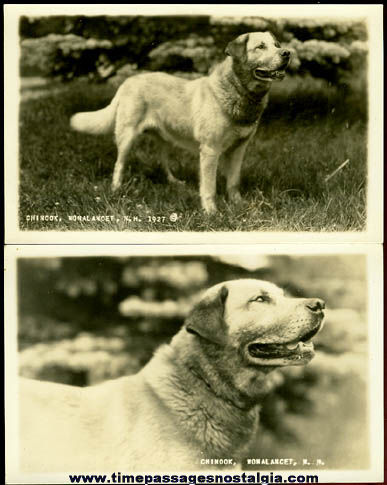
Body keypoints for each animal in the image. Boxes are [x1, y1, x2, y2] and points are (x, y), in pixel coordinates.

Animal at [71, 33, 292, 213]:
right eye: (261, 46)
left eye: (276, 44)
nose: (287, 53)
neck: (238, 92)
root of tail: (128, 81)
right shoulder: (210, 150)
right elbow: (209, 186)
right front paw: (211, 212)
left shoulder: (239, 149)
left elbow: (233, 181)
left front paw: (238, 204)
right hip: (127, 137)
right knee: (119, 164)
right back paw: (116, 189)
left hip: (165, 137)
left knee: (162, 161)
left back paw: (174, 182)